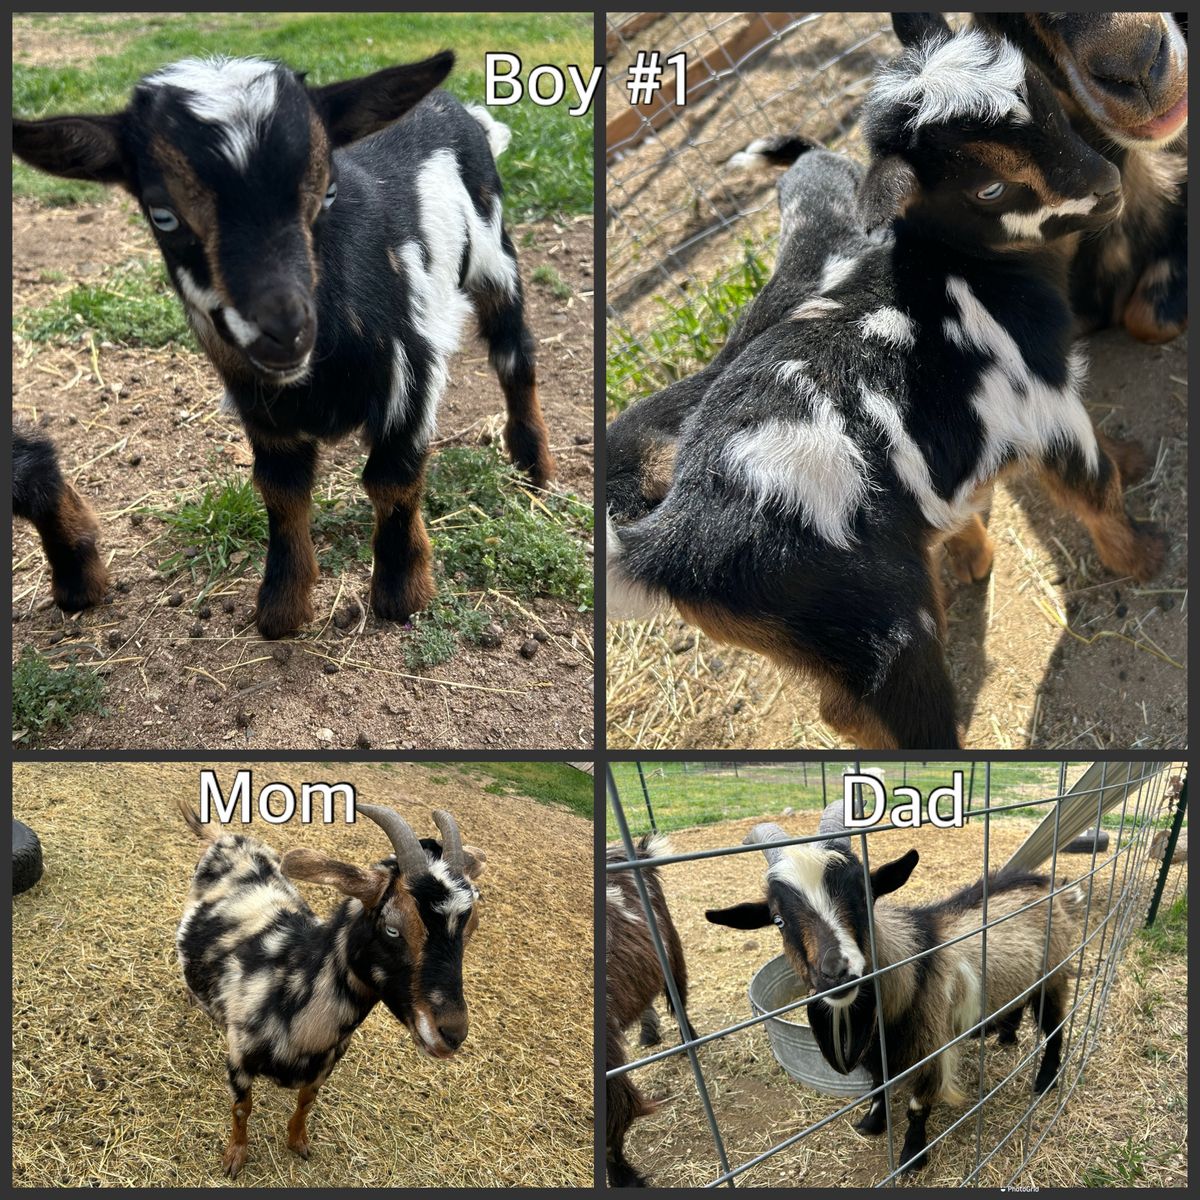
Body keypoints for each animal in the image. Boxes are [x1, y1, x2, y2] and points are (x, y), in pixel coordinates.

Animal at [176, 798, 484, 1177]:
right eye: (393, 928)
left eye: (471, 927)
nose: (452, 1034)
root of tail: (222, 836)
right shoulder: (238, 1057)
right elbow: (241, 1108)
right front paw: (235, 1157)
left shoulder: (327, 1063)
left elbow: (306, 1101)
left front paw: (298, 1142)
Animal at [606, 14, 1165, 748]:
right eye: (988, 188)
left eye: (1043, 94)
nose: (1105, 186)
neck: (959, 270)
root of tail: (664, 546)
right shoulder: (1041, 404)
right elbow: (1093, 488)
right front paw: (1146, 556)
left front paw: (1126, 462)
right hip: (879, 630)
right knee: (885, 705)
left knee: (840, 710)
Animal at [606, 833, 695, 1187]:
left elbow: (617, 1113)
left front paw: (625, 1179)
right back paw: (649, 1033)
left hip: (671, 948)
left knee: (678, 997)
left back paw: (689, 1040)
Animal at [707, 802, 1085, 1173]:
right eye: (778, 920)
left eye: (864, 897)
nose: (837, 973)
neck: (909, 974)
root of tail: (1049, 883)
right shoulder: (876, 1054)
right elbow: (878, 1090)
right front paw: (871, 1125)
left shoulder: (931, 1047)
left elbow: (917, 1107)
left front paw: (912, 1157)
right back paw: (1005, 1036)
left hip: (1053, 974)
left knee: (1055, 1027)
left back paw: (1045, 1081)